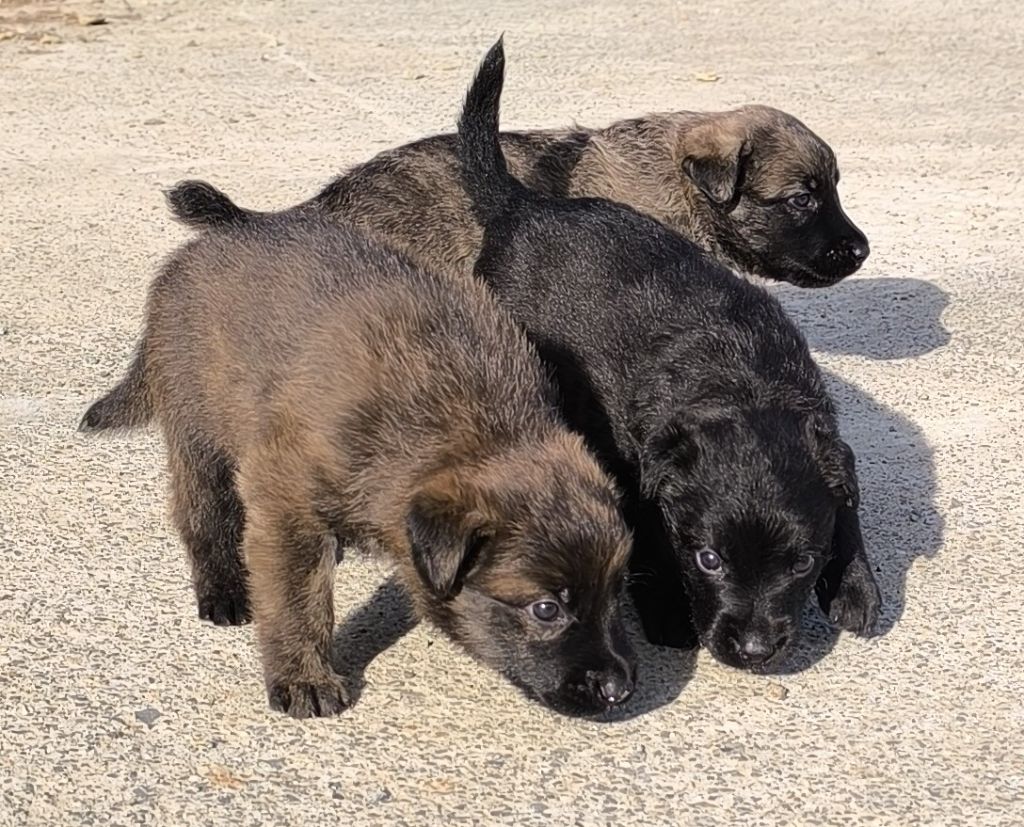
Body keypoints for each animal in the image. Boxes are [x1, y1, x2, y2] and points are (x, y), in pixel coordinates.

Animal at [83, 203, 634, 712]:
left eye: (618, 588)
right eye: (546, 609)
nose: (619, 690)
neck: (466, 424)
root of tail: (198, 247)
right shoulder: (286, 505)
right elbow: (296, 598)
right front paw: (303, 678)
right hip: (197, 433)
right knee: (202, 513)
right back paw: (221, 590)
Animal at [456, 40, 880, 671]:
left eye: (803, 562)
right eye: (708, 560)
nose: (754, 651)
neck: (741, 384)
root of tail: (521, 204)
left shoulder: (826, 442)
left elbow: (845, 504)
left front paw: (856, 584)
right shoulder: (635, 469)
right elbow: (653, 538)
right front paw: (667, 612)